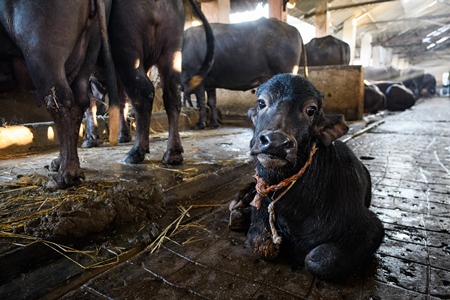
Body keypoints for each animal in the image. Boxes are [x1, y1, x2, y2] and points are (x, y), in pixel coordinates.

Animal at [0, 0, 118, 188]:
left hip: (43, 51)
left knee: (60, 102)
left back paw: (63, 177)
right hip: (90, 49)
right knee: (79, 102)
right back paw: (62, 167)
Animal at [109, 0, 214, 164]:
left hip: (126, 43)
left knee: (142, 92)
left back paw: (136, 152)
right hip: (172, 45)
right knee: (172, 93)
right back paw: (173, 153)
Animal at [232, 74, 384, 280]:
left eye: (310, 110)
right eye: (262, 102)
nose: (275, 142)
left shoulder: (371, 227)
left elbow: (315, 260)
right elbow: (262, 245)